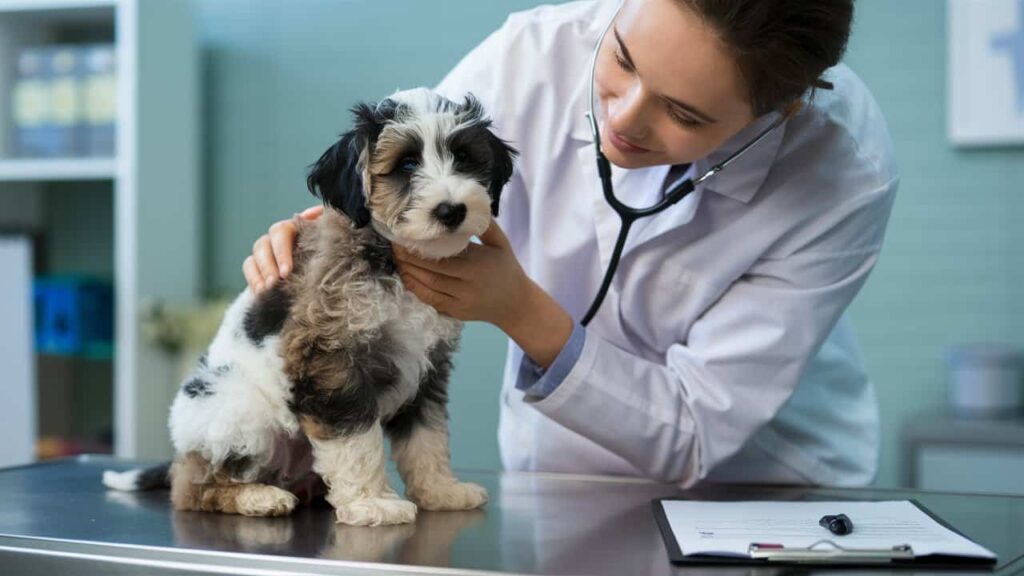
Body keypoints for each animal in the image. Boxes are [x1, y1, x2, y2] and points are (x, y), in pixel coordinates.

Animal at [102, 88, 516, 524]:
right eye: (406, 164)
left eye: (464, 157)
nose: (452, 210)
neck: (392, 260)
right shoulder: (330, 360)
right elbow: (355, 436)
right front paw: (373, 503)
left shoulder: (428, 366)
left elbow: (425, 435)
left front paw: (440, 490)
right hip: (239, 414)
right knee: (193, 489)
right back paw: (257, 497)